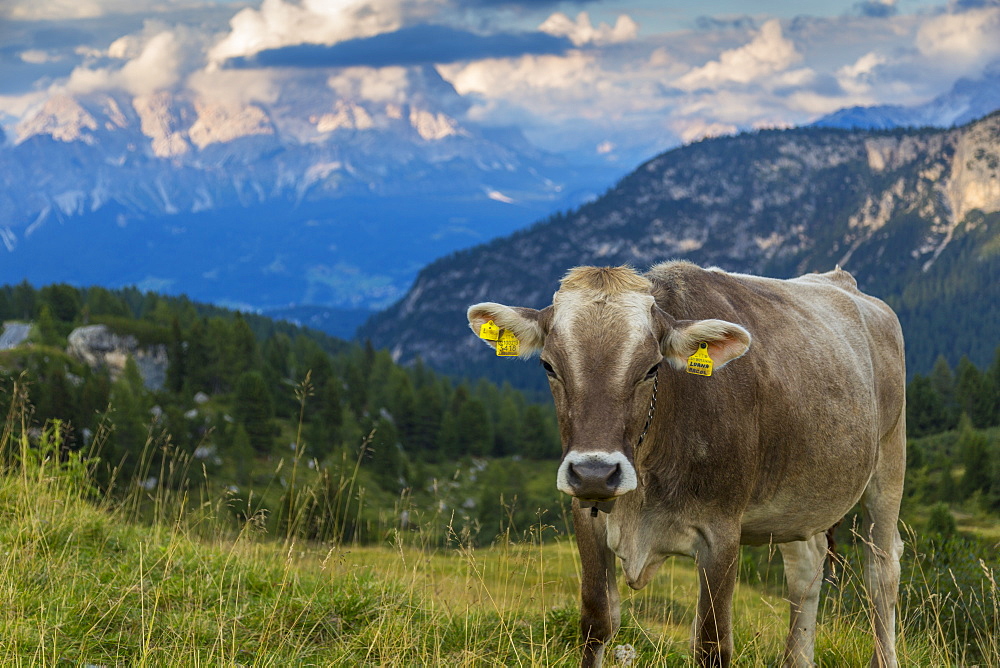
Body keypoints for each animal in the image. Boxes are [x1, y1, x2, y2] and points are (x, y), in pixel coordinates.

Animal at [468, 260, 908, 668]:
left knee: (881, 571)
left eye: (652, 367)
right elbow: (597, 622)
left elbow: (712, 642)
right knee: (806, 569)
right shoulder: (586, 517)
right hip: (798, 500)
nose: (595, 473)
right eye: (549, 366)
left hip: (889, 461)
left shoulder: (721, 533)